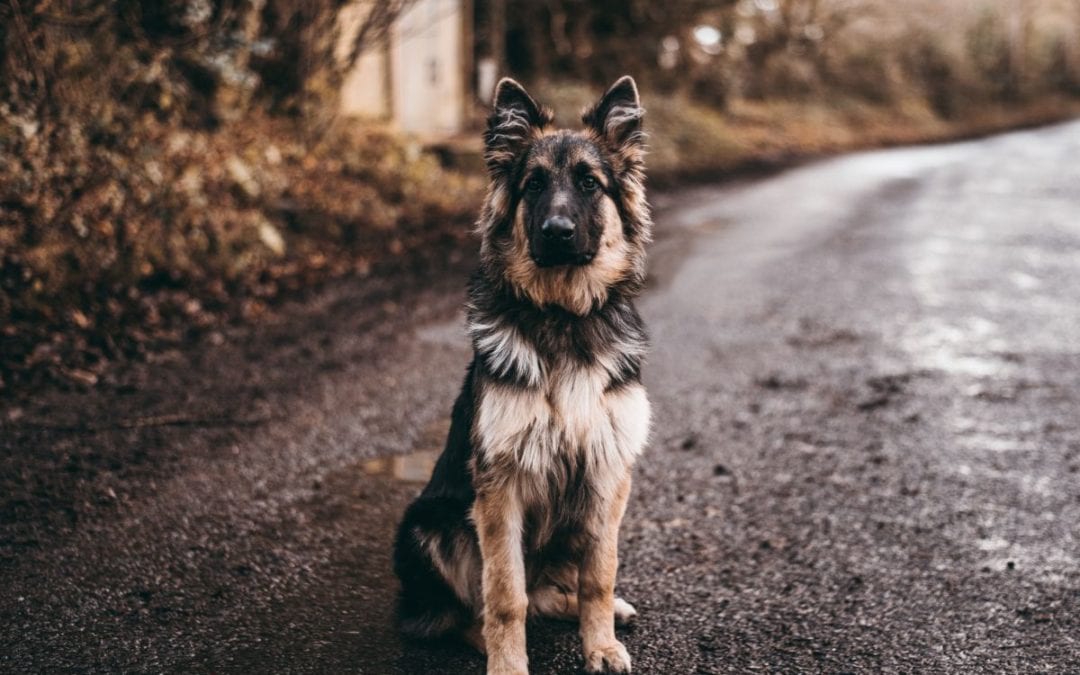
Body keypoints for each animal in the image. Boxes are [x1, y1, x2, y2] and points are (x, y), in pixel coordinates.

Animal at [395, 75, 648, 673]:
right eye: (533, 186)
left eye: (589, 183)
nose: (556, 231)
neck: (562, 316)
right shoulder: (500, 487)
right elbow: (504, 594)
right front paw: (508, 664)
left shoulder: (607, 473)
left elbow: (599, 576)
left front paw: (600, 644)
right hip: (427, 526)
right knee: (466, 612)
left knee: (553, 592)